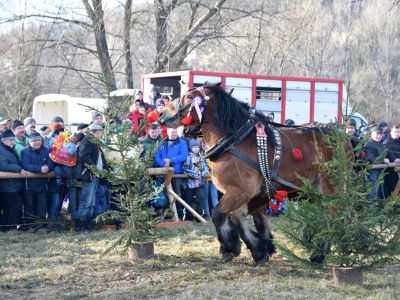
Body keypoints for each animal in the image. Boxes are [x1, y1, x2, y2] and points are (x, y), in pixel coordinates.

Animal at [159, 84, 338, 264]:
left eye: (190, 97)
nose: (161, 114)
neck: (234, 140)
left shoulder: (242, 191)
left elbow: (220, 214)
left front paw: (232, 247)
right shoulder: (251, 194)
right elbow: (240, 217)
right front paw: (260, 248)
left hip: (329, 188)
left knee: (331, 215)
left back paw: (319, 254)